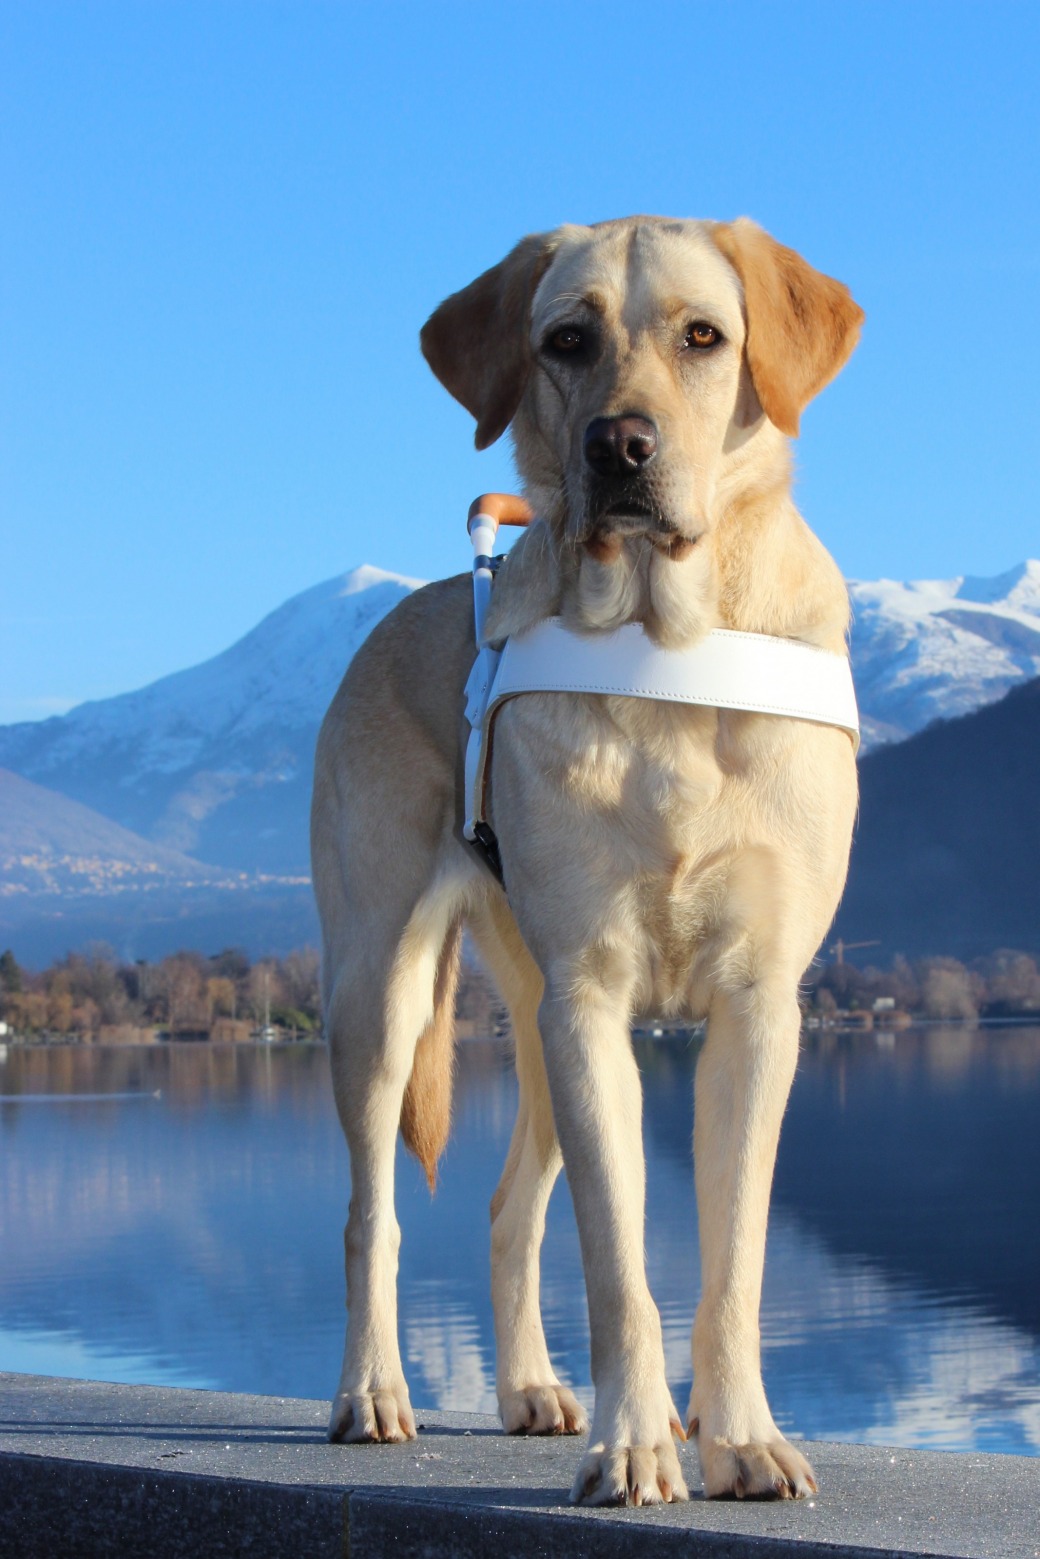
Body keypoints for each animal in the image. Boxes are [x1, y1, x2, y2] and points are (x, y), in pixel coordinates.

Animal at [308, 213, 860, 1502]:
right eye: (565, 340)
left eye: (704, 337)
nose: (621, 444)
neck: (669, 640)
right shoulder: (592, 1001)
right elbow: (618, 1265)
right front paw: (635, 1444)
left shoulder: (756, 1009)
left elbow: (731, 1257)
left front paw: (740, 1437)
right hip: (385, 991)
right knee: (372, 1212)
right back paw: (373, 1391)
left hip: (535, 1019)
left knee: (509, 1206)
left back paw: (524, 1386)